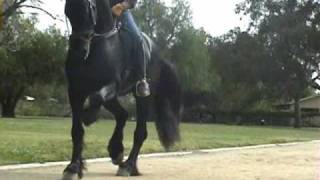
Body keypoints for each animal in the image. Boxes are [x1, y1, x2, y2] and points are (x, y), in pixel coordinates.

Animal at [62, 0, 182, 179]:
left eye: (88, 9)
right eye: (67, 11)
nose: (78, 49)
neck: (101, 45)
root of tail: (157, 54)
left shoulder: (112, 84)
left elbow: (95, 98)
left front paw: (89, 116)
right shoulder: (75, 90)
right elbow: (77, 131)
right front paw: (73, 167)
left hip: (142, 97)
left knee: (140, 132)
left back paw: (127, 165)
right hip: (113, 99)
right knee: (122, 115)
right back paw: (117, 153)